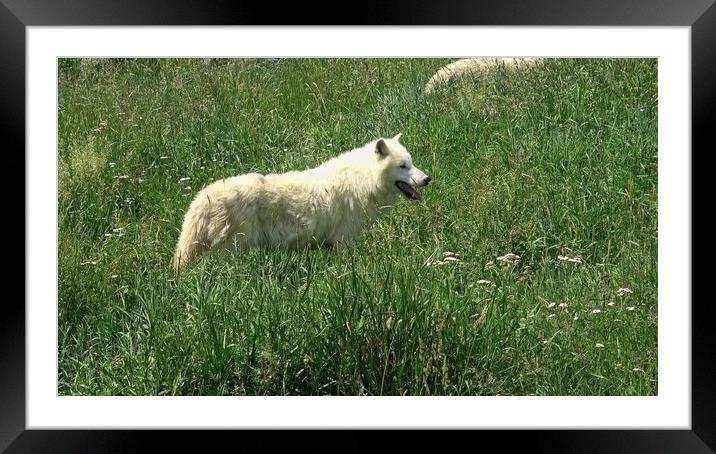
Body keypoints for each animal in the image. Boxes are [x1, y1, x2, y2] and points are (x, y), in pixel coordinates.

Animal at [173, 134, 430, 270]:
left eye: (411, 162)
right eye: (403, 166)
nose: (427, 179)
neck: (361, 179)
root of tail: (200, 200)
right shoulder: (342, 241)